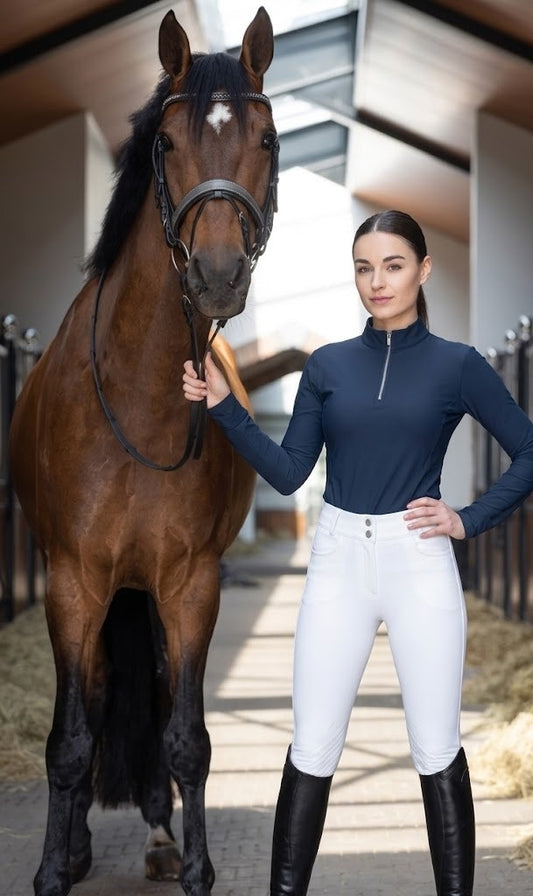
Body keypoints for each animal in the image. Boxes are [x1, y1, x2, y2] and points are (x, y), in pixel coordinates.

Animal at [9, 7, 278, 896]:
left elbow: (185, 736)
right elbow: (70, 739)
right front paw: (53, 869)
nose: (218, 275)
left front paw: (194, 867)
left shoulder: (191, 584)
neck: (138, 396)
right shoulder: (71, 583)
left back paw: (158, 836)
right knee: (97, 697)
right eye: (164, 143)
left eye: (266, 138)